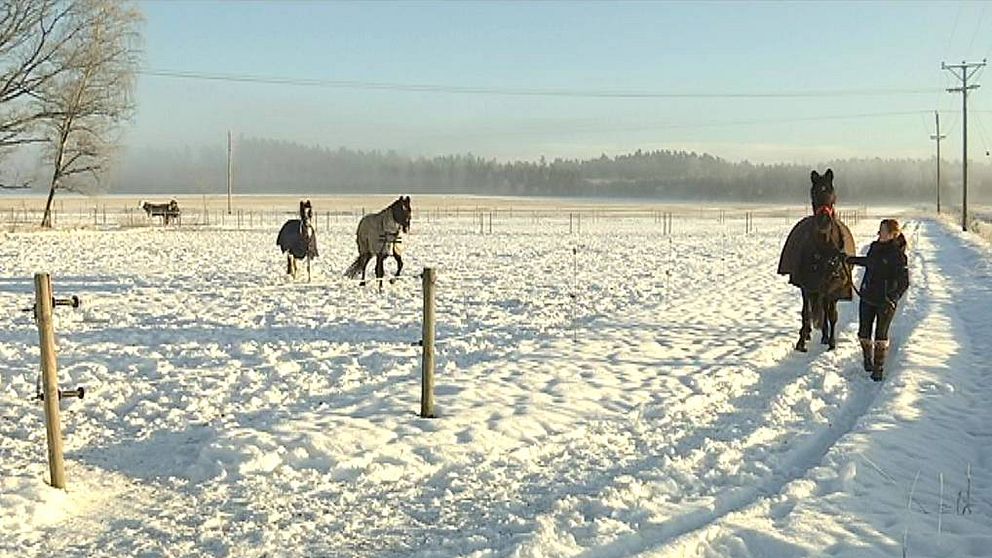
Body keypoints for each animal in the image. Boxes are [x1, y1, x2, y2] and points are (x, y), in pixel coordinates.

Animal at [780, 171, 856, 354]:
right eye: (813, 194)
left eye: (832, 194)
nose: (823, 222)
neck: (825, 249)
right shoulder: (807, 286)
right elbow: (806, 313)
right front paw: (801, 342)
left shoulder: (833, 288)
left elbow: (832, 314)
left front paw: (832, 342)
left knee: (826, 309)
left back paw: (825, 336)